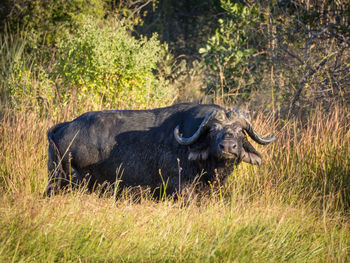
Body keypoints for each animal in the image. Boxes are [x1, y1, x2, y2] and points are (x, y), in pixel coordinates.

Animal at [43, 104, 274, 197]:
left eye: (240, 131)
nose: (227, 147)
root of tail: (64, 126)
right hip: (67, 182)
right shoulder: (181, 188)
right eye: (213, 130)